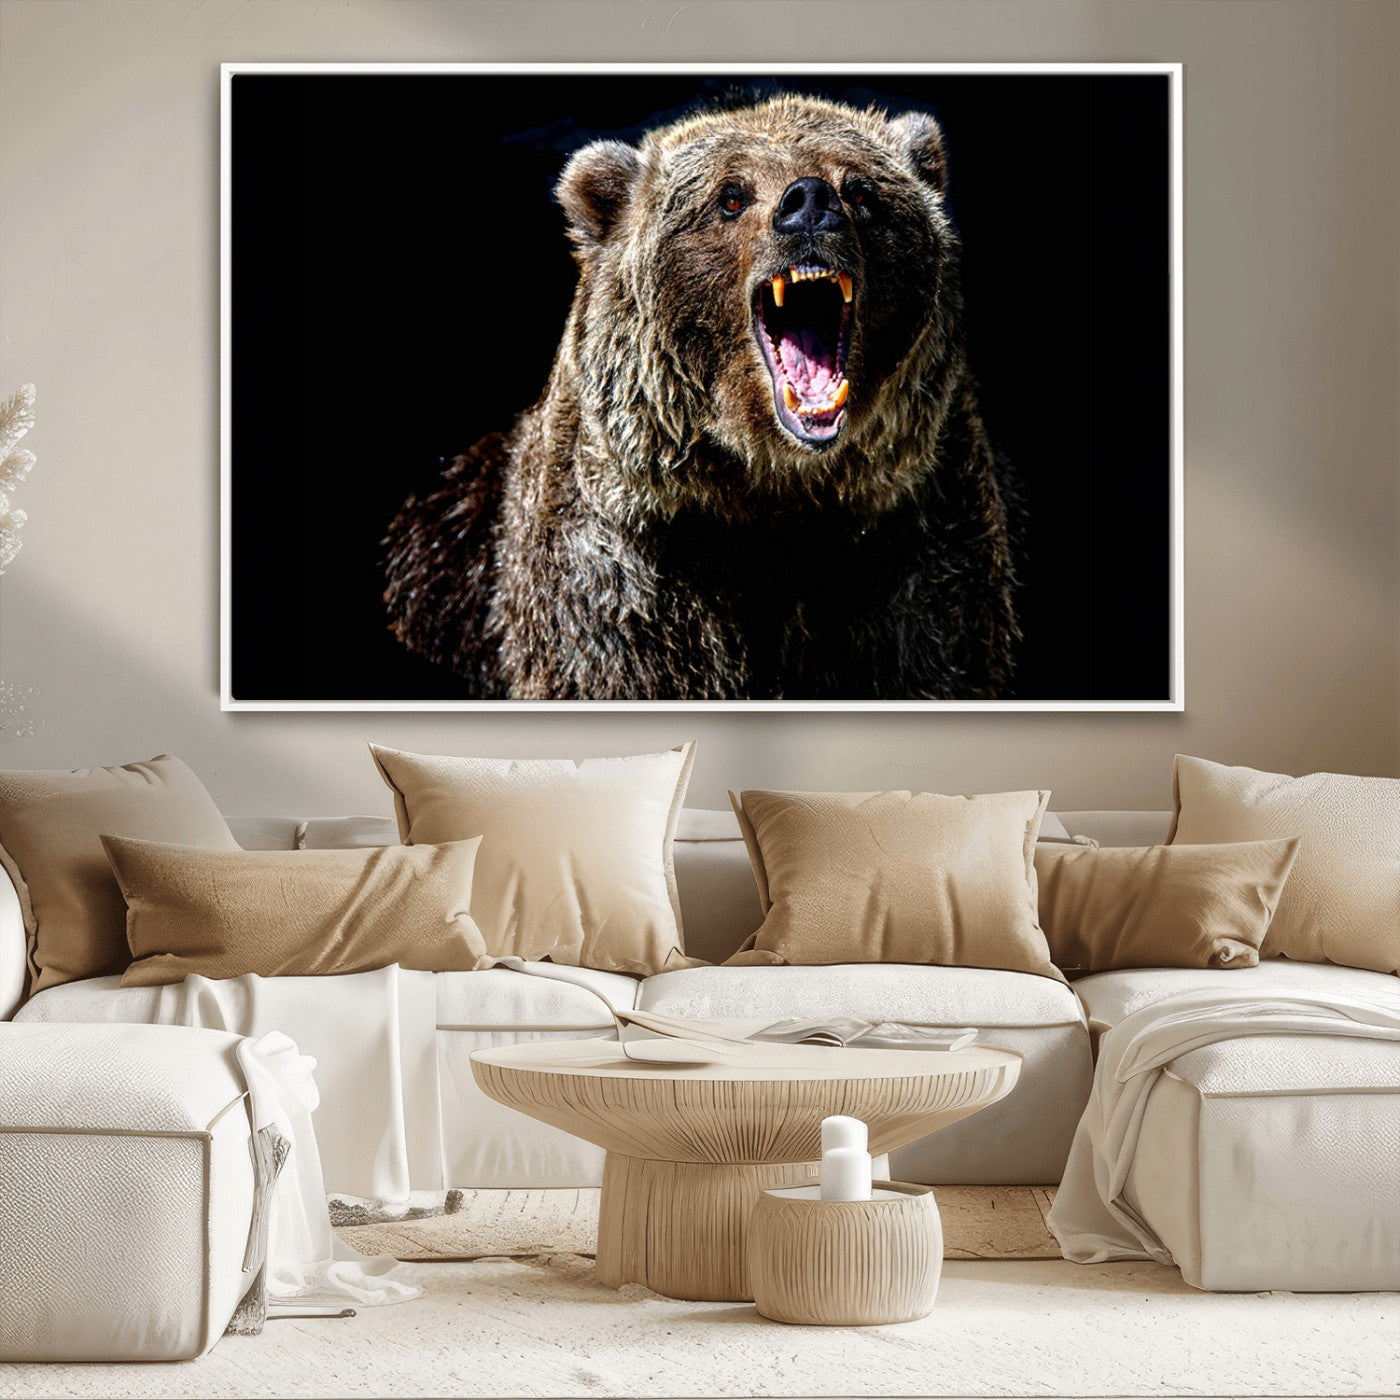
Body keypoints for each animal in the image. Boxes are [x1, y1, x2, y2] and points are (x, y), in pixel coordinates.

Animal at [383, 93, 1020, 700]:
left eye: (860, 188)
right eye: (730, 197)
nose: (809, 202)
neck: (771, 493)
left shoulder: (914, 559)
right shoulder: (624, 585)